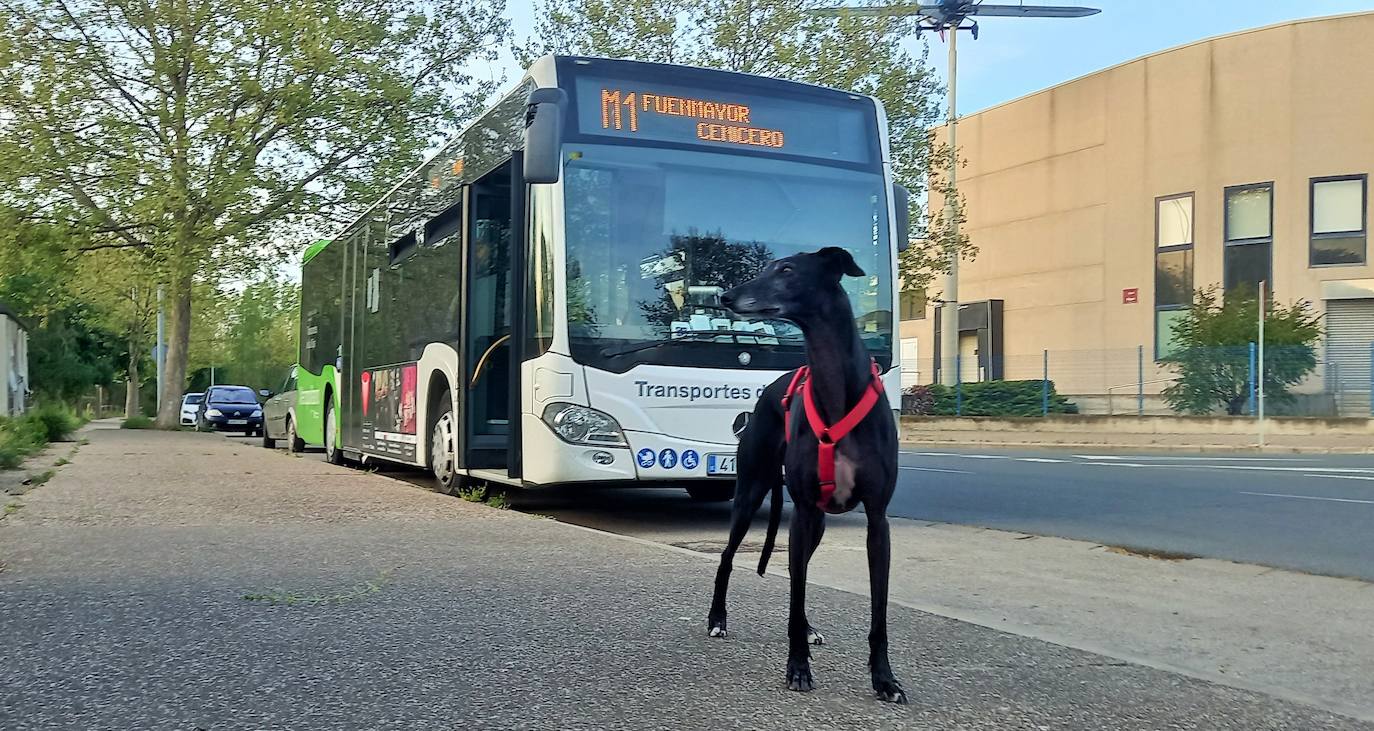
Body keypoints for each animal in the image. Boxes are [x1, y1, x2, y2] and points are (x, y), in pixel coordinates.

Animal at [708, 245, 901, 703]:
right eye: (765, 267)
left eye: (787, 269)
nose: (726, 297)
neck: (836, 388)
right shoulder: (805, 513)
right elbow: (795, 596)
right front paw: (797, 668)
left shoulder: (876, 519)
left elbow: (879, 610)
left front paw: (884, 679)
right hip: (752, 494)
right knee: (728, 558)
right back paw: (717, 619)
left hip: (814, 525)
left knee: (799, 573)